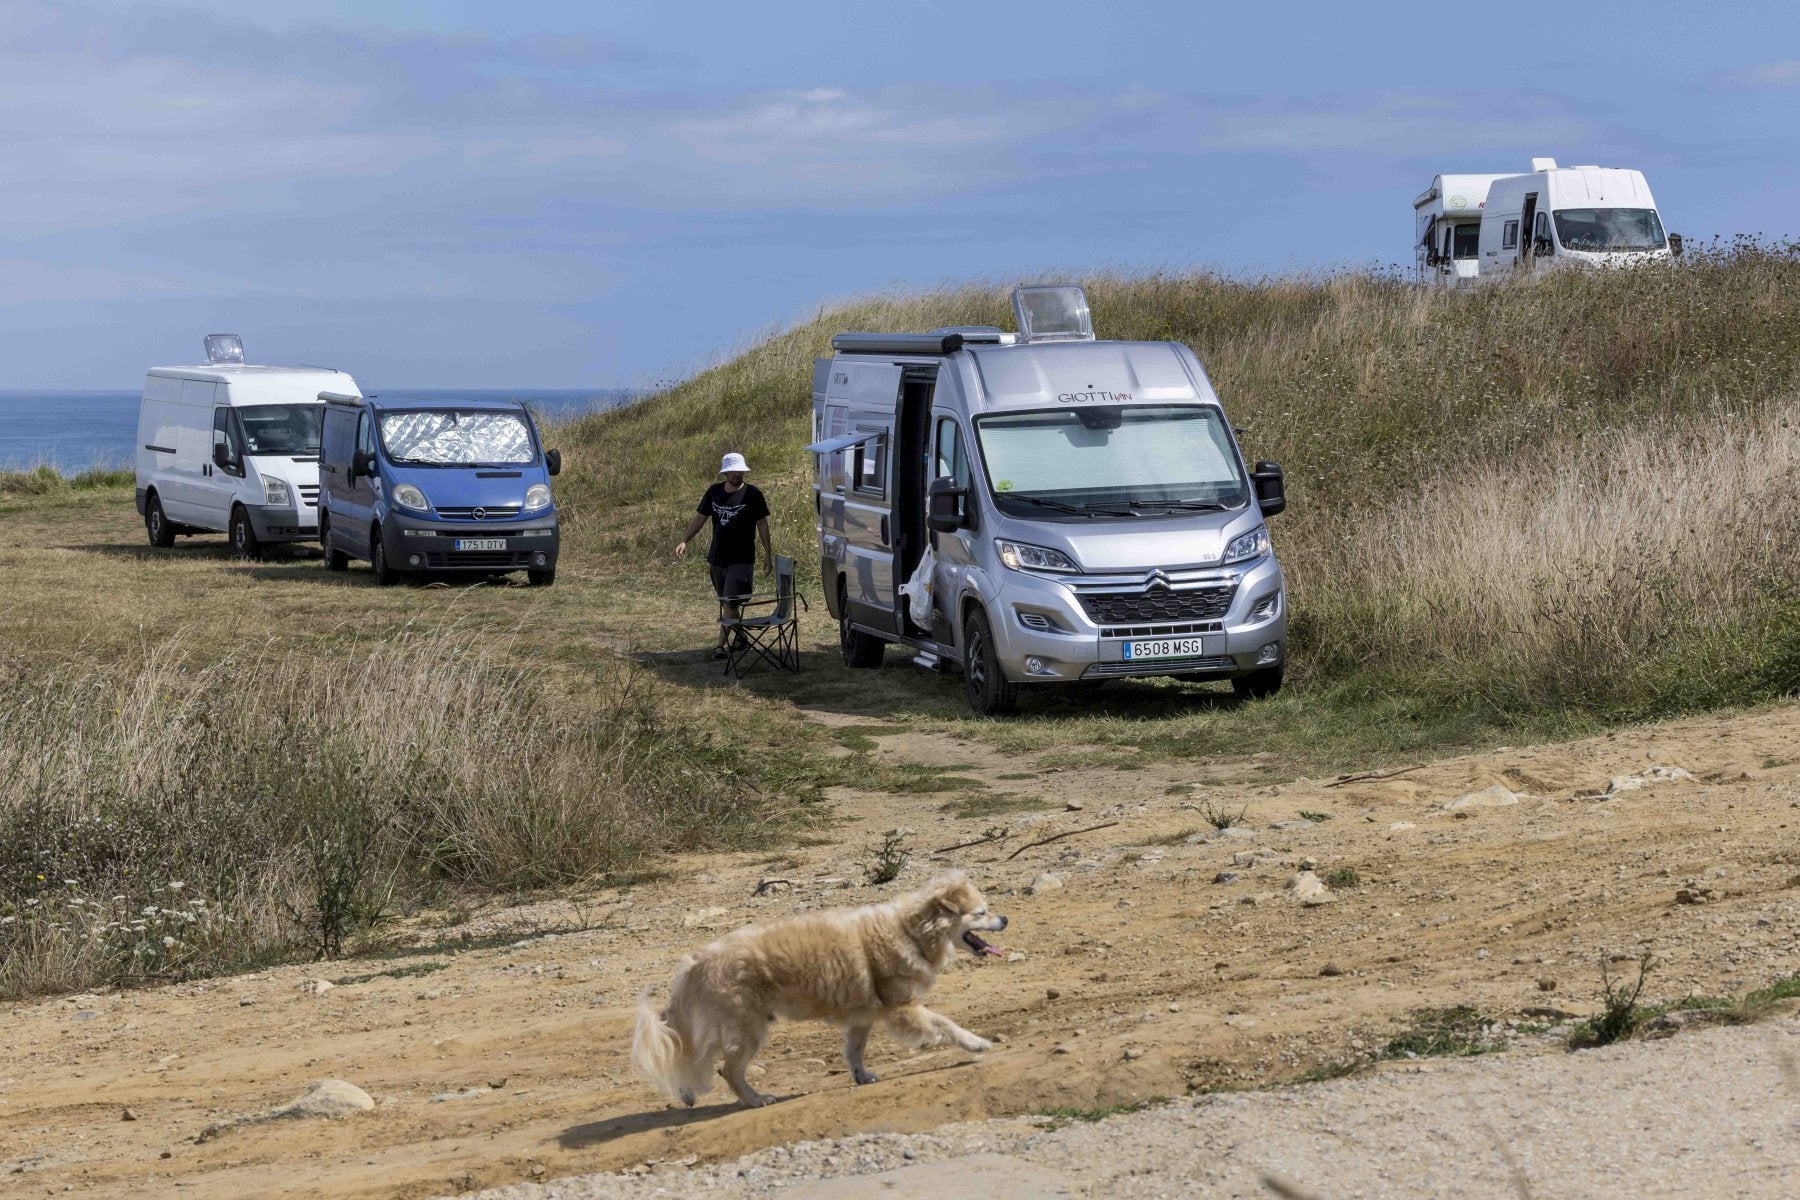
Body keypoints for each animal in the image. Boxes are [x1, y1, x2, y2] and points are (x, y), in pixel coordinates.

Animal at [633, 874, 1008, 1108]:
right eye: (981, 912)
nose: (1004, 919)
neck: (909, 930)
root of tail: (695, 961)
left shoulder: (863, 1018)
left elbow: (854, 1051)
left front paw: (861, 1077)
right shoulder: (905, 1009)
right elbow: (945, 1023)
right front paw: (975, 1043)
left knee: (693, 1057)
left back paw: (687, 1093)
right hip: (748, 1028)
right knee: (728, 1070)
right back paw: (755, 1099)